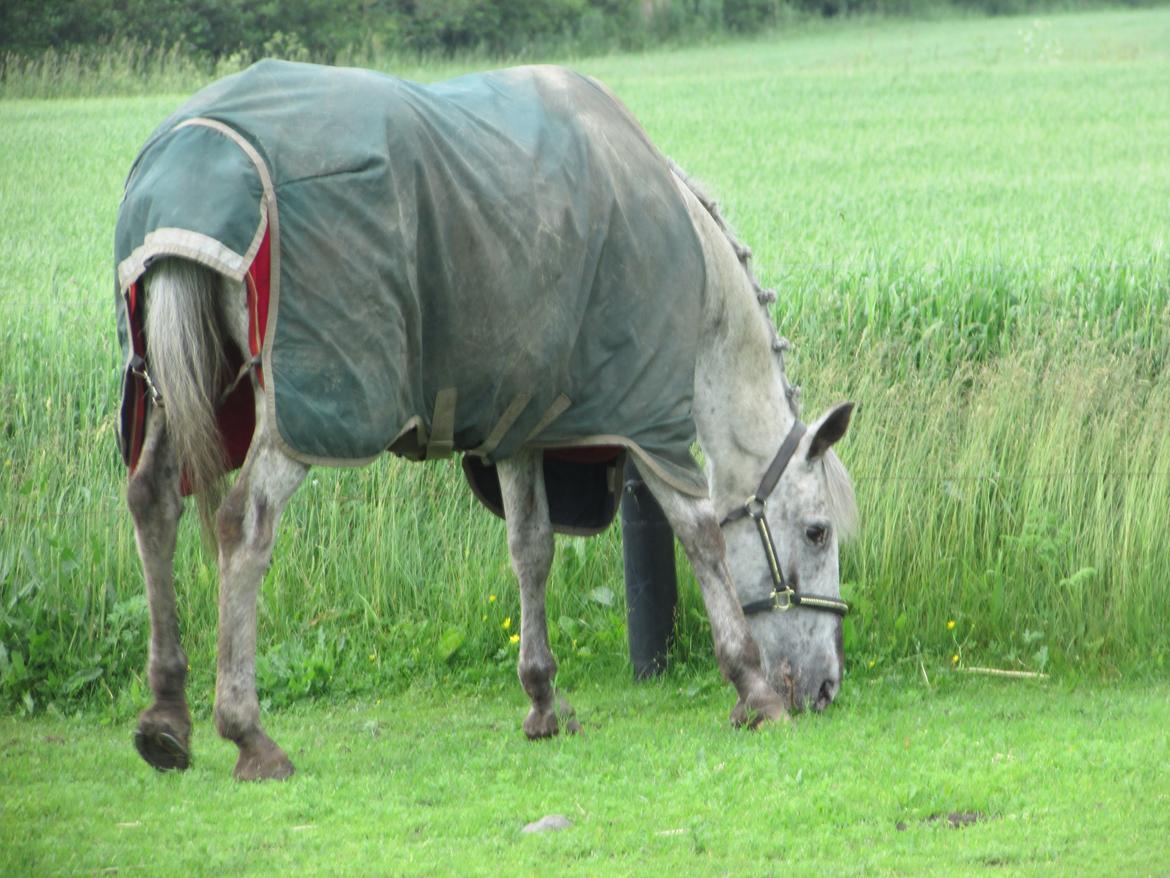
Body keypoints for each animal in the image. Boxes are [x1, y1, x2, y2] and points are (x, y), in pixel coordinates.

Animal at [115, 61, 857, 781]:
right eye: (817, 532)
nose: (826, 689)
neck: (696, 269)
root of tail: (188, 157)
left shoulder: (521, 426)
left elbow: (532, 549)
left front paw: (543, 698)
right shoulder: (651, 425)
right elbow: (700, 535)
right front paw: (752, 689)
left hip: (179, 390)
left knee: (153, 502)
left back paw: (166, 718)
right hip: (301, 420)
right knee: (244, 528)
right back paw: (248, 733)